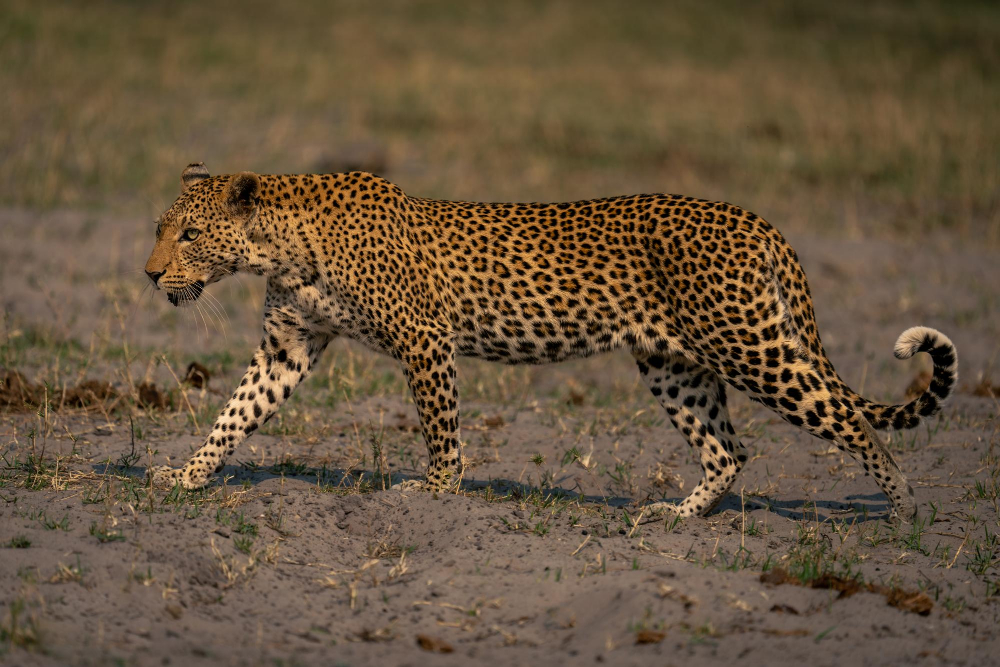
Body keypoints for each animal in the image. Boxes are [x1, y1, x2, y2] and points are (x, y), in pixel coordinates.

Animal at [144, 162, 957, 523]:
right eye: (160, 227)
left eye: (188, 233)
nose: (150, 274)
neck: (276, 247)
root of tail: (759, 222)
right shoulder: (288, 346)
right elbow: (235, 414)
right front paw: (186, 475)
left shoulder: (424, 340)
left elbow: (441, 430)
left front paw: (436, 494)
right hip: (673, 363)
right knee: (730, 449)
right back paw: (677, 517)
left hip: (752, 346)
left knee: (849, 420)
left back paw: (906, 512)